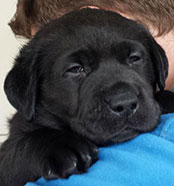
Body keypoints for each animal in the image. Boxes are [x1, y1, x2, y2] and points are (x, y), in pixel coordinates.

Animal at [0, 8, 173, 186]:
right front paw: (61, 146)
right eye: (75, 69)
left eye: (134, 58)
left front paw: (168, 99)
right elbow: (23, 144)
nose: (124, 104)